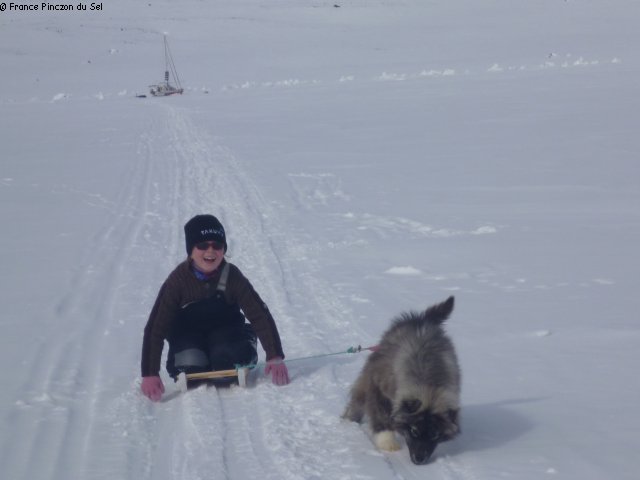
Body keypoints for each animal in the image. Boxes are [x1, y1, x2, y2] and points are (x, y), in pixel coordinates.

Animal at [342, 296, 462, 464]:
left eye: (435, 434)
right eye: (413, 430)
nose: (419, 460)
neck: (430, 384)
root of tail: (422, 320)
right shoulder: (379, 389)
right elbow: (382, 417)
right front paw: (388, 443)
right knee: (358, 399)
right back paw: (349, 420)